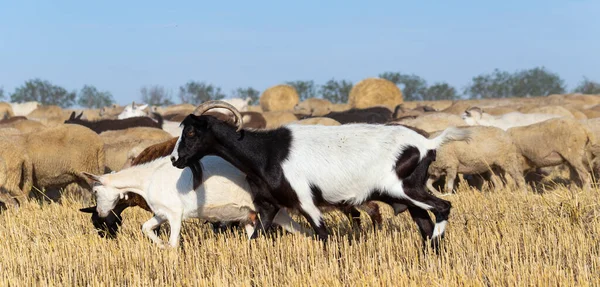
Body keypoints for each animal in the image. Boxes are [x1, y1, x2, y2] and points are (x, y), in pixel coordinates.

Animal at [82, 156, 312, 249]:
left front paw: (169, 249)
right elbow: (145, 227)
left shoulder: (175, 214)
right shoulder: (161, 213)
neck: (148, 179)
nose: (101, 214)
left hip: (278, 211)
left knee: (303, 231)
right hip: (250, 216)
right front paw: (160, 246)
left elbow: (174, 242)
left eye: (95, 190)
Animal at [168, 100, 468, 245]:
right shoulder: (268, 206)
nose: (174, 159)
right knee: (426, 230)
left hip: (406, 189)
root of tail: (428, 144)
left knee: (443, 207)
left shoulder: (307, 203)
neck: (266, 153)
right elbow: (254, 240)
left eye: (192, 132)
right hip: (409, 199)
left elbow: (324, 237)